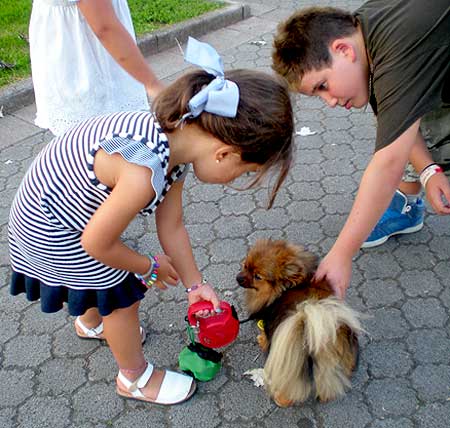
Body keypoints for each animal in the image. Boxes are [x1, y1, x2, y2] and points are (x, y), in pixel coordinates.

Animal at [237, 239, 364, 406]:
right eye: (246, 266)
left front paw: (262, 340)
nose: (238, 278)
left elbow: (265, 335)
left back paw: (280, 398)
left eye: (257, 276)